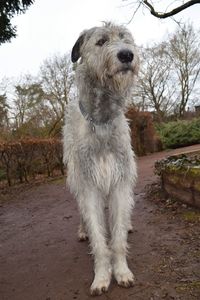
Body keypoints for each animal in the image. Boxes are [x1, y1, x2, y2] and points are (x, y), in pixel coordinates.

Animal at [63, 21, 140, 296]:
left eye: (125, 39)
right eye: (101, 41)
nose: (127, 55)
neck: (102, 121)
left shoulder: (120, 180)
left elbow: (117, 237)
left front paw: (122, 271)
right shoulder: (88, 184)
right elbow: (98, 236)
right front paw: (102, 277)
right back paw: (82, 230)